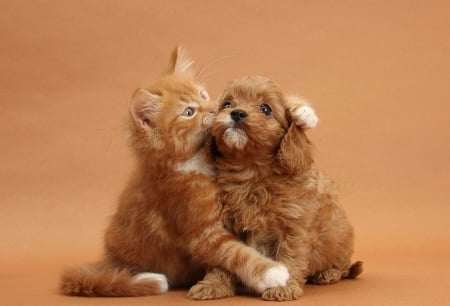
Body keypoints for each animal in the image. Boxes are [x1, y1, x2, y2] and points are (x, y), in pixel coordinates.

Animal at [59, 50, 288, 296]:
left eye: (203, 94)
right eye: (188, 112)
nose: (214, 108)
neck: (196, 162)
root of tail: (108, 261)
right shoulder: (201, 232)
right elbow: (236, 252)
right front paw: (271, 272)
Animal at [187, 76, 362, 302]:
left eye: (266, 109)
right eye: (227, 104)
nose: (237, 113)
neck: (251, 172)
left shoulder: (294, 227)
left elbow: (289, 256)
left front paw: (283, 287)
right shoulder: (225, 224)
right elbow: (224, 256)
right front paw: (214, 285)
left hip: (341, 237)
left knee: (343, 266)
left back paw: (328, 273)